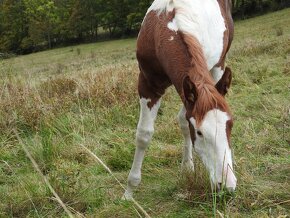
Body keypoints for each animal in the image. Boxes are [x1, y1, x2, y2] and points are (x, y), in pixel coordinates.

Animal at [123, 0, 237, 200]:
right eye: (199, 133)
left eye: (230, 124)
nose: (227, 185)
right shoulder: (147, 85)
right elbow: (144, 134)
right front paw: (129, 191)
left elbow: (185, 119)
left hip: (219, 66)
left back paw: (187, 165)